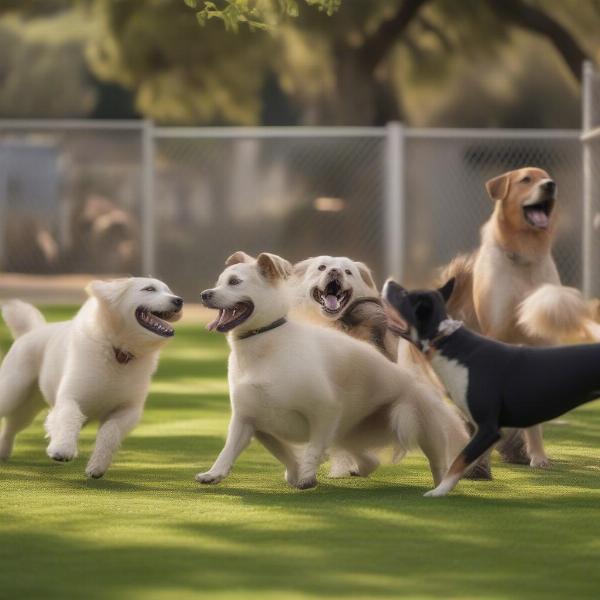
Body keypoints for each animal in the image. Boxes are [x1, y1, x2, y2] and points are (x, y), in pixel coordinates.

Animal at [0, 276, 183, 478]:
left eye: (169, 291)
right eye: (149, 289)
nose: (179, 300)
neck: (117, 352)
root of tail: (31, 331)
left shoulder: (129, 410)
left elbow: (109, 432)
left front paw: (97, 467)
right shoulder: (70, 397)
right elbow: (70, 417)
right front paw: (62, 450)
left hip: (27, 408)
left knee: (10, 428)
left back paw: (3, 452)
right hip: (11, 394)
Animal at [197, 251, 468, 490]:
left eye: (234, 282)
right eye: (218, 283)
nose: (204, 294)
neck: (265, 346)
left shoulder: (325, 411)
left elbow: (313, 448)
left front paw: (306, 477)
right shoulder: (251, 421)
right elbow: (240, 451)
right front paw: (215, 473)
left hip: (417, 422)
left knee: (437, 461)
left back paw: (440, 486)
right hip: (347, 436)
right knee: (370, 460)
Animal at [382, 278, 600, 496]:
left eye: (404, 294)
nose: (390, 281)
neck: (449, 344)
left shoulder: (488, 428)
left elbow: (459, 460)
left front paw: (439, 491)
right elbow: (467, 458)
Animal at [440, 165, 564, 468]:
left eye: (547, 177)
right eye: (526, 180)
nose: (550, 185)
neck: (524, 257)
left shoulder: (537, 340)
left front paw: (537, 455)